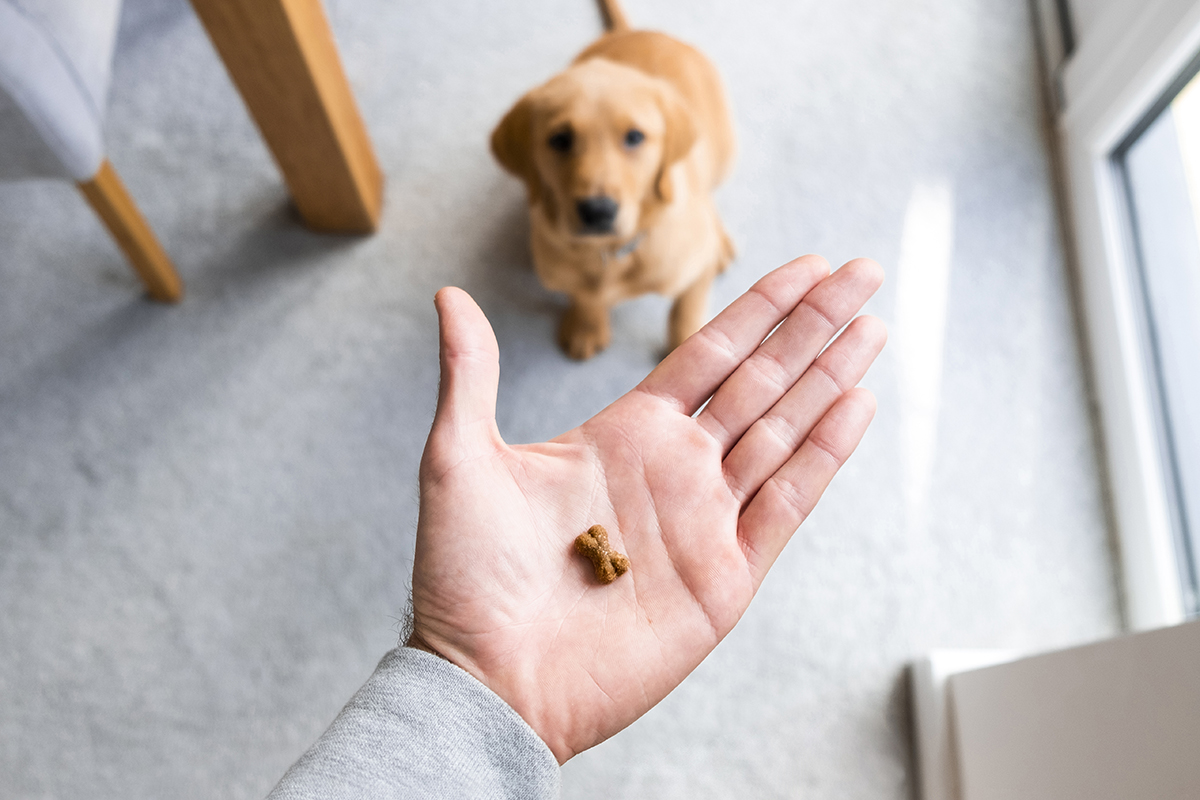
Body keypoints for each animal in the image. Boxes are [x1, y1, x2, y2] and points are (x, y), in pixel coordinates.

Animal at [492, 0, 734, 357]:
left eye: (634, 137)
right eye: (559, 140)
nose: (597, 211)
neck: (610, 252)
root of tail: (638, 31)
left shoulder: (694, 269)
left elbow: (685, 309)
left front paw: (683, 340)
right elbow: (583, 294)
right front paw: (587, 324)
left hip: (724, 152)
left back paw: (721, 241)